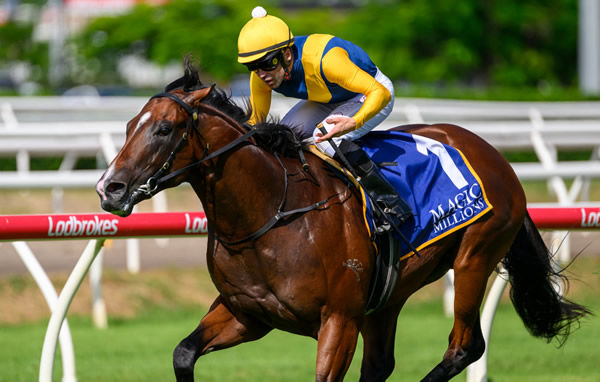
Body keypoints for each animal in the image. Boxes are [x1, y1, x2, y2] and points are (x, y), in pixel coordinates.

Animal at [96, 61, 588, 380]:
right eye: (129, 126)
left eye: (163, 129)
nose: (109, 188)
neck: (271, 214)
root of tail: (495, 156)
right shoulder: (246, 314)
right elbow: (183, 354)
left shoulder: (338, 320)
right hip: (388, 295)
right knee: (382, 363)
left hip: (474, 258)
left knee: (465, 345)